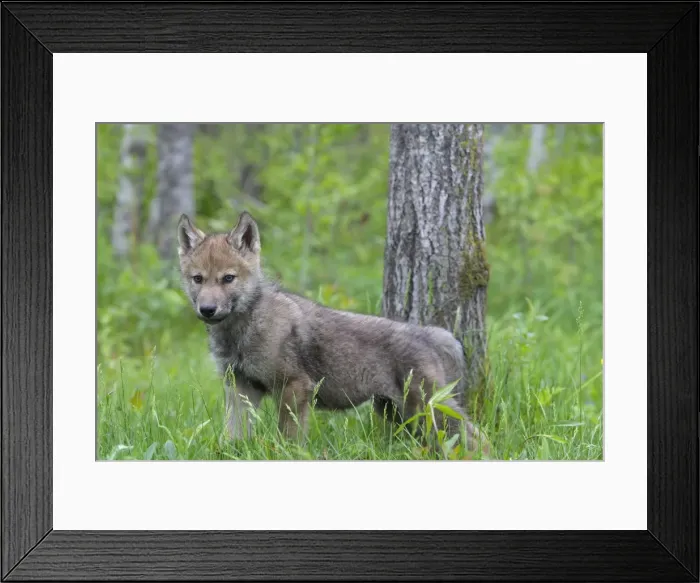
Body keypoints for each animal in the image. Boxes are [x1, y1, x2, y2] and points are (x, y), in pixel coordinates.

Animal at [177, 211, 488, 454]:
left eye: (228, 278)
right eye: (198, 279)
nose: (207, 309)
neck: (244, 328)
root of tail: (429, 333)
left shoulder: (294, 387)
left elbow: (288, 441)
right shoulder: (240, 388)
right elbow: (233, 437)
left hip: (428, 407)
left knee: (478, 438)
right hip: (398, 413)